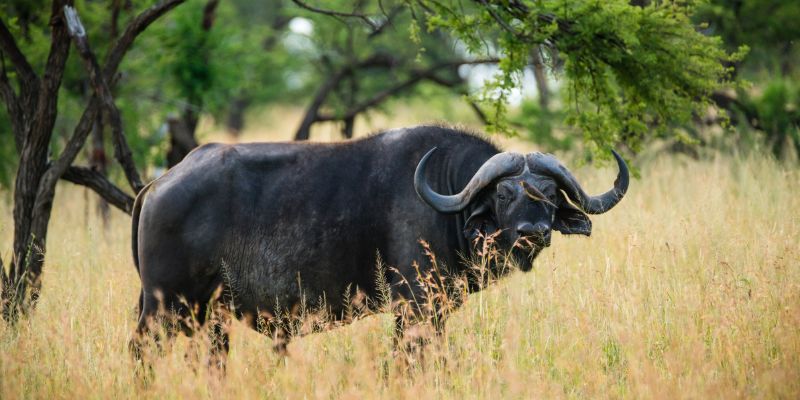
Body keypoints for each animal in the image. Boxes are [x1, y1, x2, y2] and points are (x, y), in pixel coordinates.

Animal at [130, 125, 628, 360]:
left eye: (550, 196)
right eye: (504, 194)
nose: (533, 233)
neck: (447, 200)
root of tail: (159, 183)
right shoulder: (415, 307)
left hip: (207, 317)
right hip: (163, 308)